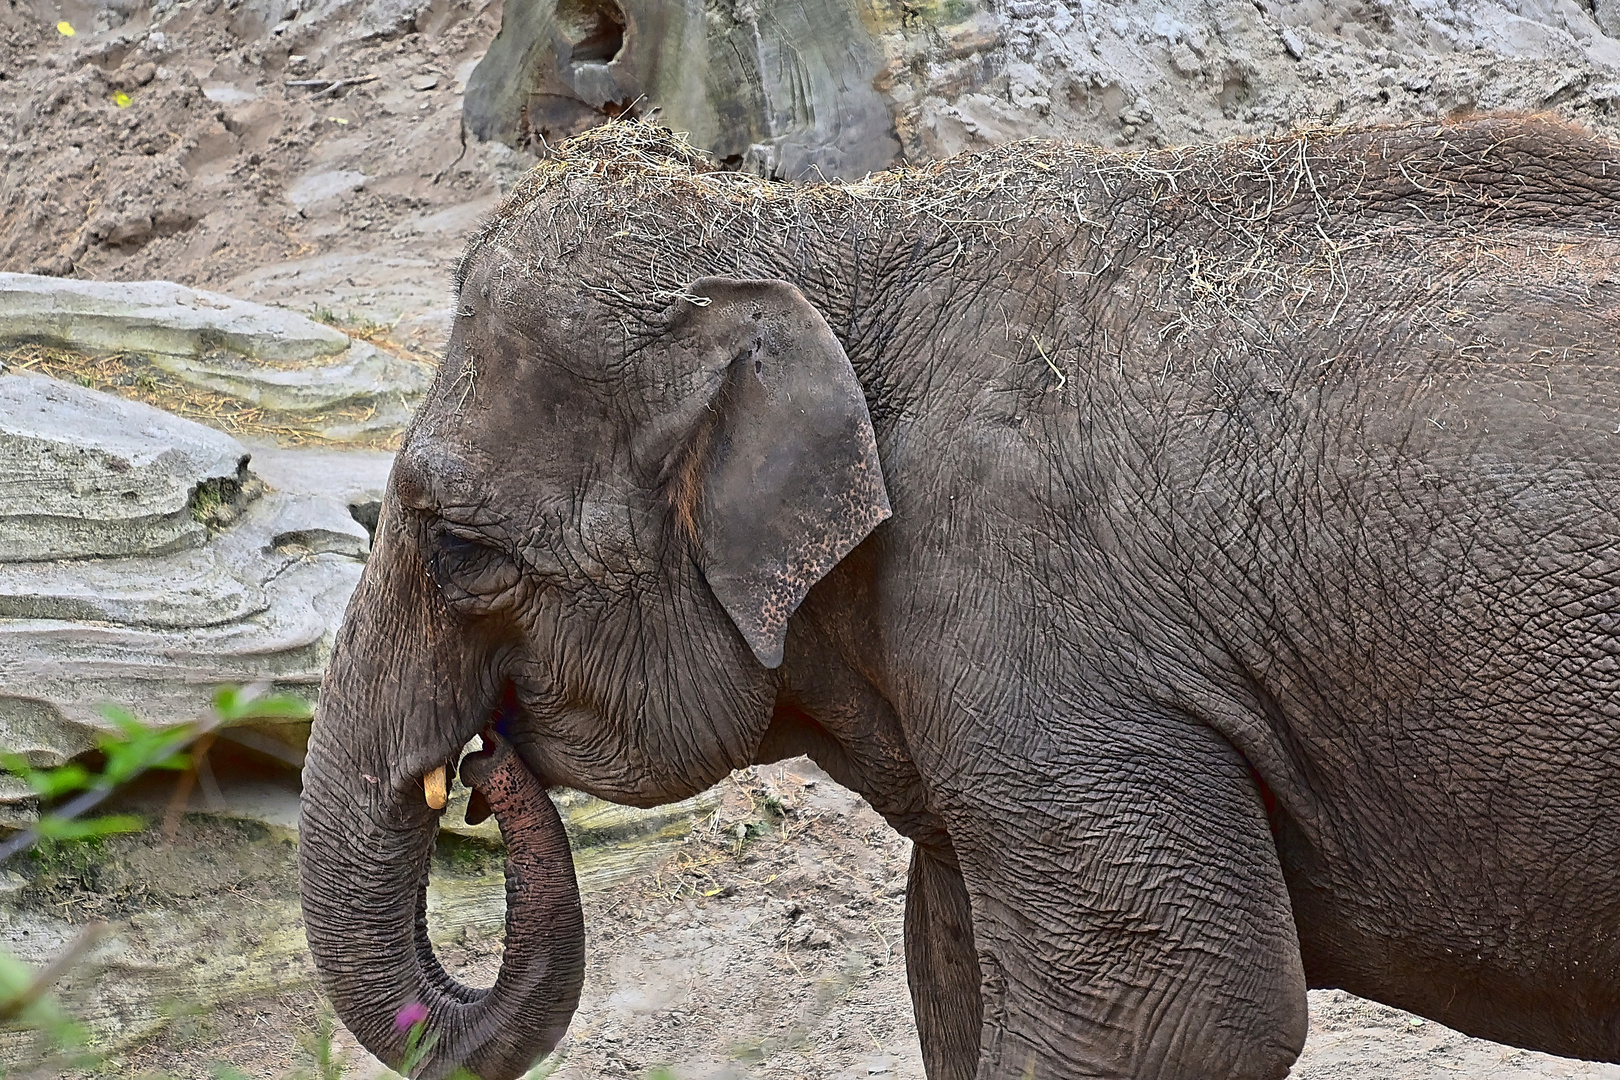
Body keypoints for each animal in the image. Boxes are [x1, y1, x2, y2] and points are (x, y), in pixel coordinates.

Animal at [298, 118, 1620, 1080]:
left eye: (459, 549)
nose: (484, 765)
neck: (839, 236)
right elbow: (949, 968)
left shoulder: (1041, 635)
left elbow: (1181, 1019)